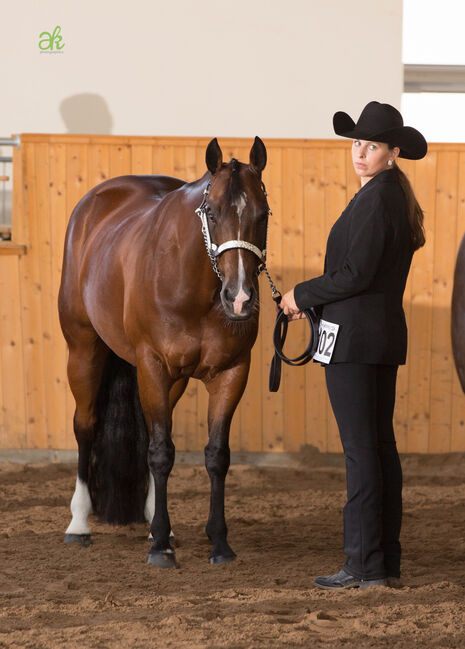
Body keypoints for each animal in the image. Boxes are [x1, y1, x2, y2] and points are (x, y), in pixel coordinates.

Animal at [58, 137, 268, 568]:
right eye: (211, 213)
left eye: (263, 213)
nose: (240, 299)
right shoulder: (152, 367)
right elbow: (158, 453)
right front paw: (159, 549)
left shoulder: (232, 372)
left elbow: (216, 455)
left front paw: (218, 542)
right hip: (83, 351)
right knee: (85, 426)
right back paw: (79, 523)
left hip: (172, 381)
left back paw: (161, 525)